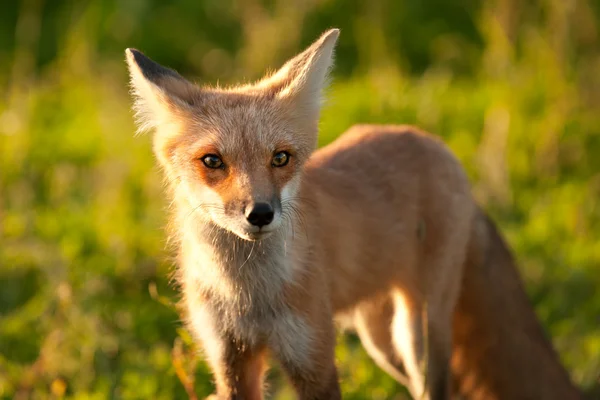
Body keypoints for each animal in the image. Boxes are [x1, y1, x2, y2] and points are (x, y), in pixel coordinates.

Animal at [124, 28, 580, 400]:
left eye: (280, 158)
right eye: (212, 161)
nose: (261, 213)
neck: (249, 297)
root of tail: (431, 141)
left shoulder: (314, 359)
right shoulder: (230, 361)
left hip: (421, 332)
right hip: (383, 343)